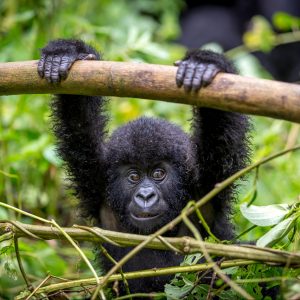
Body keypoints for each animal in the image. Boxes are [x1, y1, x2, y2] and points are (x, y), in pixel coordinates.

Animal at [38, 39, 252, 292]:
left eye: (158, 173)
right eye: (133, 176)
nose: (146, 195)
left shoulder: (207, 187)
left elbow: (221, 130)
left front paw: (205, 64)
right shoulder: (95, 181)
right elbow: (78, 122)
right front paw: (65, 54)